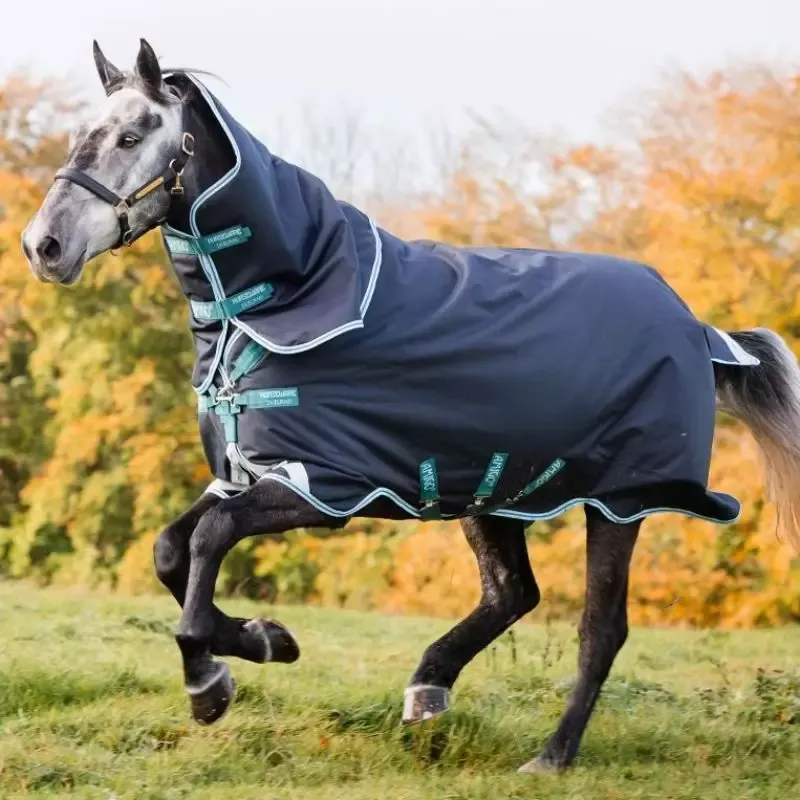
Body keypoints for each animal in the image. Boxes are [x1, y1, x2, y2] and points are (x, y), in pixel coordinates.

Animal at [21, 39, 800, 774]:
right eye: (83, 132)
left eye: (133, 135)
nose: (43, 245)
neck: (283, 298)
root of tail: (697, 328)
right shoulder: (244, 475)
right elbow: (168, 551)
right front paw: (264, 641)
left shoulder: (319, 486)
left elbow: (208, 540)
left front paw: (211, 682)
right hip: (491, 490)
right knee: (511, 594)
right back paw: (429, 689)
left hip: (621, 501)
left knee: (599, 628)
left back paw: (551, 755)